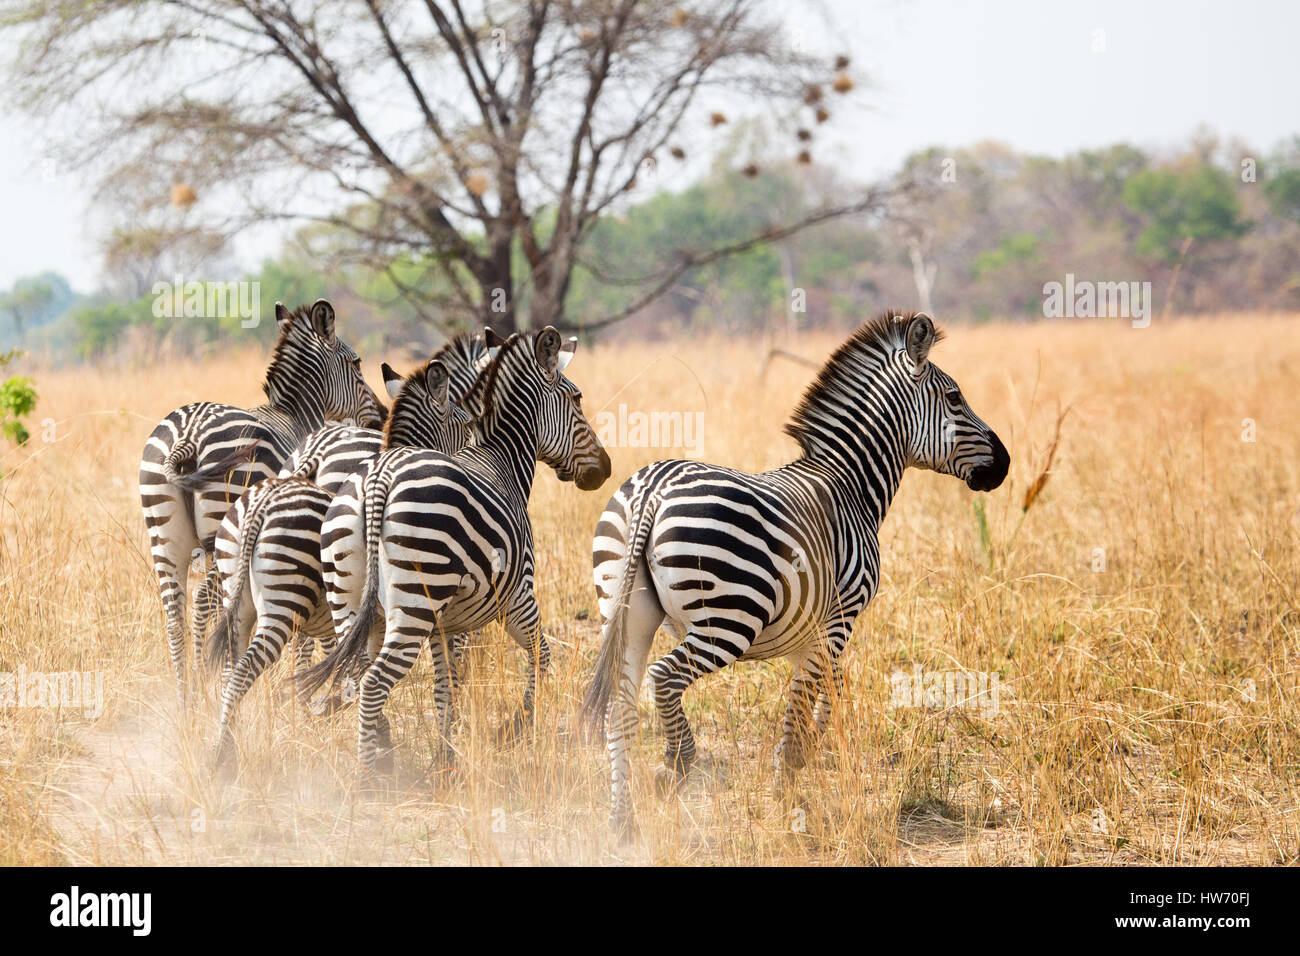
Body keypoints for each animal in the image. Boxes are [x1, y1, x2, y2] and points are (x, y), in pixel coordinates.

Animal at [141, 300, 384, 712]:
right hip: (221, 528)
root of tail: (187, 436)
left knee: (174, 615)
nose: (382, 415)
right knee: (206, 603)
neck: (297, 417)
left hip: (164, 535)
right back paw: (206, 687)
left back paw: (186, 701)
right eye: (356, 364)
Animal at [208, 356, 478, 770]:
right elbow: (364, 674)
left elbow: (355, 671)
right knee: (243, 670)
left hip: (235, 595)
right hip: (280, 604)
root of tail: (260, 507)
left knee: (229, 669)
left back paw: (228, 747)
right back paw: (224, 756)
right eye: (464, 425)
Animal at [301, 327, 611, 780]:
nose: (604, 470)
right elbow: (540, 654)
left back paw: (383, 754)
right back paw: (368, 778)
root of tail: (379, 478)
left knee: (355, 673)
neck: (502, 461)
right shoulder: (516, 596)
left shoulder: (446, 625)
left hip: (347, 596)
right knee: (373, 682)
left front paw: (446, 755)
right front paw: (515, 728)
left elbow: (445, 685)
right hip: (415, 603)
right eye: (576, 398)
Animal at [582, 310, 1013, 832]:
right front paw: (789, 795)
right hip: (728, 618)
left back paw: (621, 820)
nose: (1005, 463)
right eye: (954, 398)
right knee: (664, 677)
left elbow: (821, 692)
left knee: (619, 707)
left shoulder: (808, 629)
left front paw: (804, 761)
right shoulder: (839, 618)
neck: (850, 486)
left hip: (626, 611)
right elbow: (809, 698)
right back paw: (676, 763)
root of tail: (654, 490)